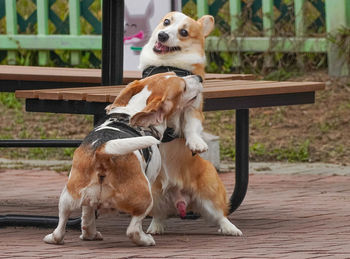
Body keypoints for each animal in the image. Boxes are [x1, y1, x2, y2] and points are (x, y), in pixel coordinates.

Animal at [42, 72, 204, 248]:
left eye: (173, 73)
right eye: (183, 87)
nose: (199, 77)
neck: (132, 113)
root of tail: (102, 153)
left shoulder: (85, 202)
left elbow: (87, 215)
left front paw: (89, 233)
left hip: (67, 196)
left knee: (60, 227)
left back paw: (60, 236)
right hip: (146, 197)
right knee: (133, 230)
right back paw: (145, 239)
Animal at [138, 11, 242, 238]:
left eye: (184, 32)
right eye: (166, 22)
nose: (162, 36)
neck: (168, 66)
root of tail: (179, 199)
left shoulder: (194, 108)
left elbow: (190, 127)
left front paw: (196, 143)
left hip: (209, 195)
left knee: (220, 215)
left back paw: (231, 228)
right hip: (153, 195)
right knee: (159, 215)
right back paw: (155, 228)